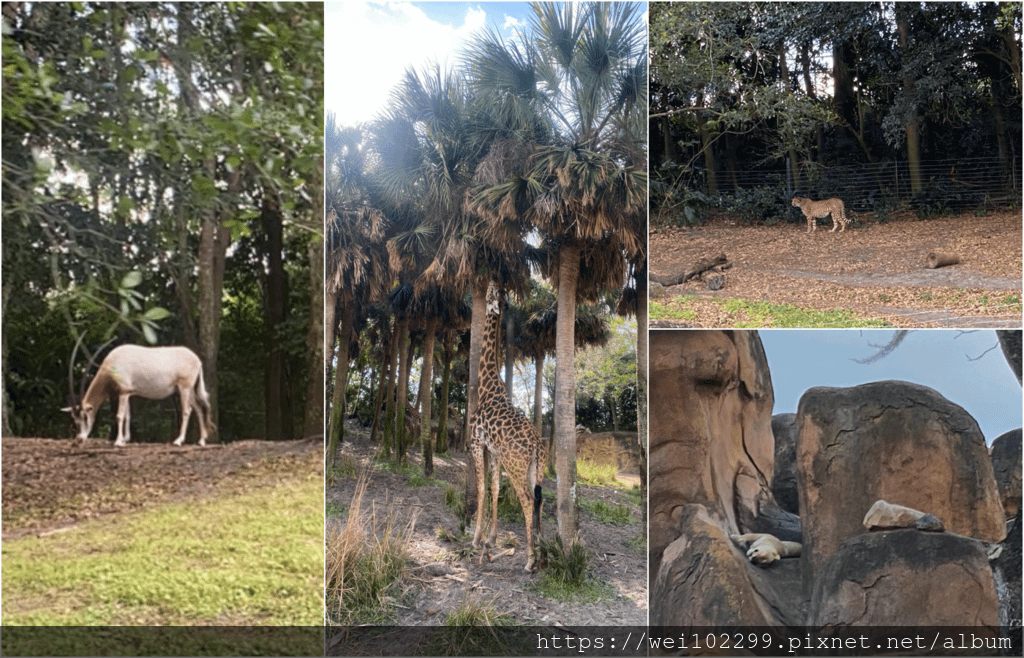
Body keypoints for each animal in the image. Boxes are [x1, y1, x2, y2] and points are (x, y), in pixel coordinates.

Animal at [62, 341, 214, 446]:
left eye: (85, 416)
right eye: (74, 418)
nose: (79, 439)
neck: (113, 363)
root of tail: (197, 360)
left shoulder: (123, 393)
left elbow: (119, 416)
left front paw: (118, 442)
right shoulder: (127, 392)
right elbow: (127, 415)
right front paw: (125, 439)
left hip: (184, 388)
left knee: (187, 410)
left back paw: (178, 441)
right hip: (189, 390)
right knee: (199, 408)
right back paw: (201, 441)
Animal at [468, 282, 548, 573]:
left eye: (492, 293)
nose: (489, 286)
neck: (488, 386)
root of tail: (536, 445)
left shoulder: (476, 443)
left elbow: (482, 488)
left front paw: (476, 540)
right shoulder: (494, 451)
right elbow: (494, 489)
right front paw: (490, 540)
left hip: (516, 466)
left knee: (527, 500)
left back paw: (530, 560)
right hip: (536, 468)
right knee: (539, 499)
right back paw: (543, 553)